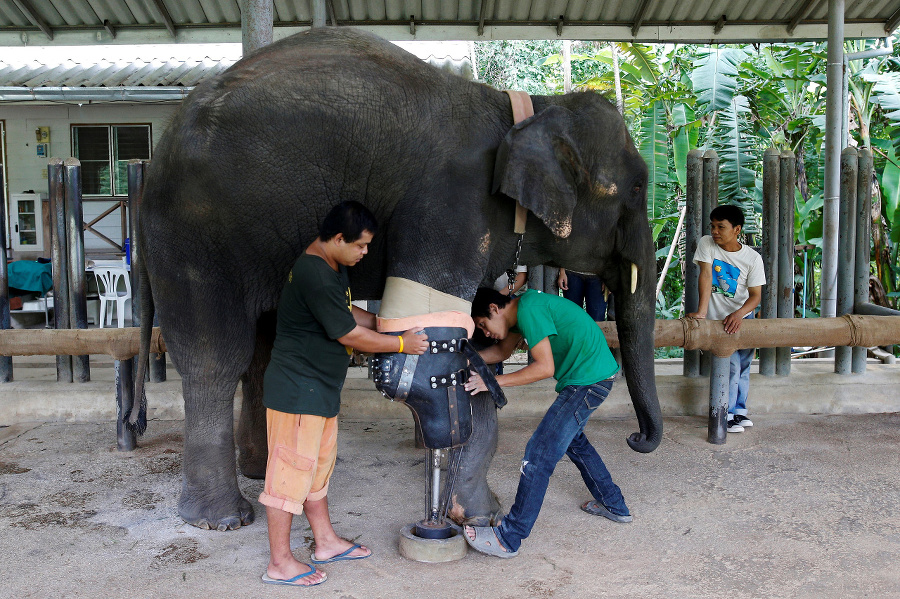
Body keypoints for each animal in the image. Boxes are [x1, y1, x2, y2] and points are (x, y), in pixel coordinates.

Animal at [135, 25, 660, 532]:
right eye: (637, 186)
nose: (637, 438)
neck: (523, 107)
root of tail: (152, 162)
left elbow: (465, 347)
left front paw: (470, 511)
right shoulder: (448, 207)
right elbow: (436, 354)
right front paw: (475, 513)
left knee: (261, 350)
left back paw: (262, 472)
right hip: (196, 238)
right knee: (215, 357)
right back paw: (221, 518)